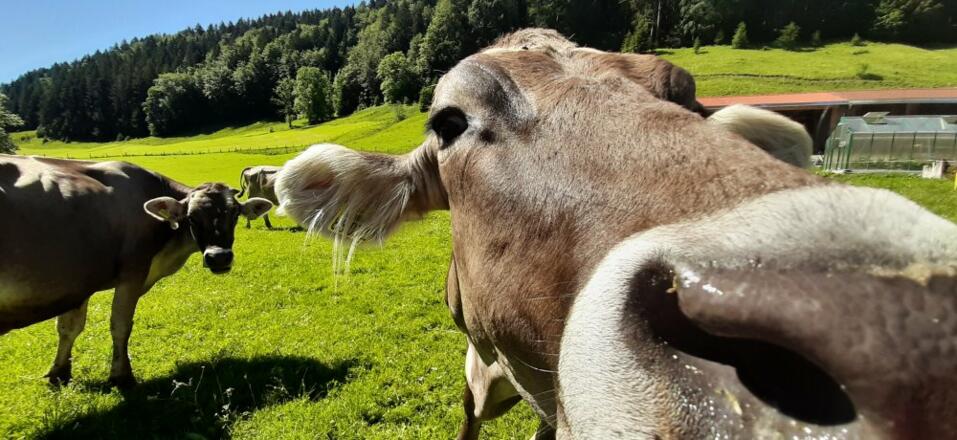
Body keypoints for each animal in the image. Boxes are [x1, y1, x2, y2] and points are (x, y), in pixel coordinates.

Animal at [0, 155, 272, 387]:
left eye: (235, 214)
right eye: (192, 217)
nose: (219, 257)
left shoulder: (79, 280)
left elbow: (69, 328)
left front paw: (59, 373)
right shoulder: (132, 272)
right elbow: (120, 325)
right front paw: (121, 376)